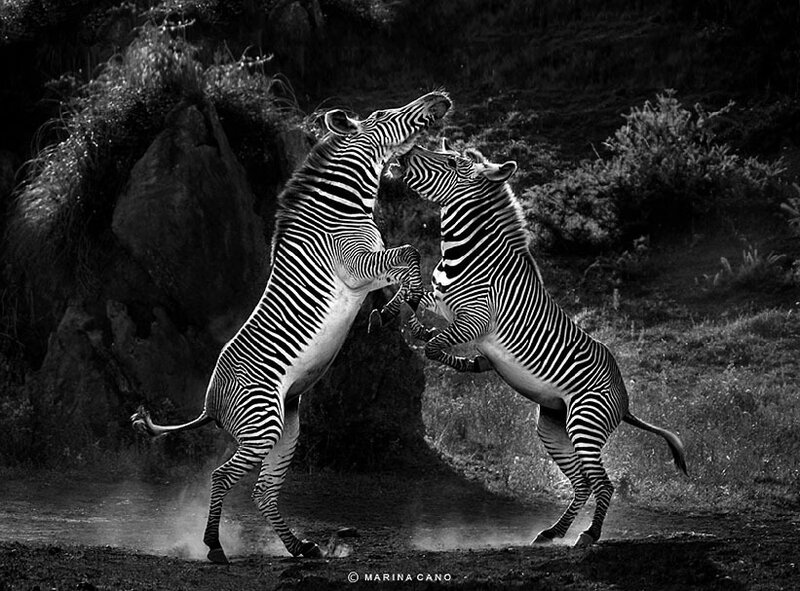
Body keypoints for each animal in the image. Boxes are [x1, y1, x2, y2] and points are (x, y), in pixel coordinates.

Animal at [130, 91, 452, 563]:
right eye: (382, 115)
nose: (439, 98)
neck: (346, 209)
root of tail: (210, 402)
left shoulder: (369, 272)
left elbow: (406, 270)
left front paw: (400, 312)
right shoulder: (356, 265)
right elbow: (410, 253)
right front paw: (402, 308)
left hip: (285, 426)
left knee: (263, 490)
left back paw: (299, 546)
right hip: (262, 422)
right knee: (222, 477)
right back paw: (214, 547)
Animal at [398, 141, 687, 547]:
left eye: (452, 161)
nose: (404, 154)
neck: (464, 256)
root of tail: (625, 397)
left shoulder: (476, 320)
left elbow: (436, 347)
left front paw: (469, 362)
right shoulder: (438, 301)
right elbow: (418, 309)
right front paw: (407, 320)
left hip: (586, 421)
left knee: (603, 483)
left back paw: (589, 535)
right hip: (553, 426)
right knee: (583, 483)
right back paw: (554, 532)